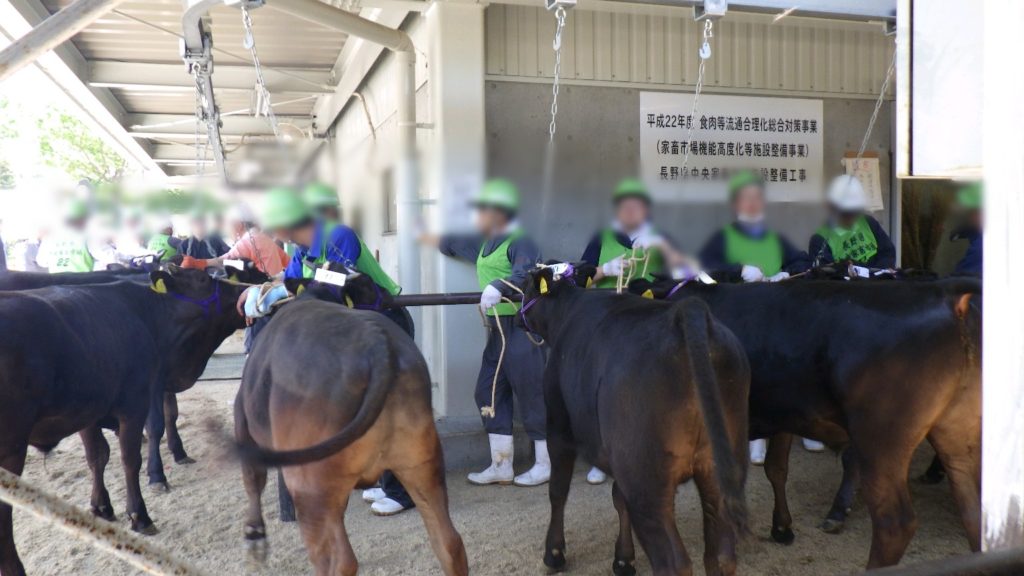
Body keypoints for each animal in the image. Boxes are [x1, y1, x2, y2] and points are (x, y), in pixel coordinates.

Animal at [0, 268, 245, 573]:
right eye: (201, 279)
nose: (241, 291)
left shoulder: (89, 410)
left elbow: (97, 456)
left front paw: (101, 507)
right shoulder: (137, 400)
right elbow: (132, 456)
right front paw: (140, 513)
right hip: (10, 445)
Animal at [233, 270, 468, 573]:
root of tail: (378, 346)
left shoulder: (243, 425)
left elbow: (252, 479)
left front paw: (254, 536)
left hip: (309, 482)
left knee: (334, 559)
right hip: (421, 461)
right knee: (449, 543)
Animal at [520, 264, 753, 573]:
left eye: (525, 285)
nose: (516, 316)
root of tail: (685, 314)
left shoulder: (559, 427)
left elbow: (558, 490)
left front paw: (555, 554)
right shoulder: (619, 457)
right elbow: (619, 499)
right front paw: (623, 559)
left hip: (647, 482)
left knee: (673, 563)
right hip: (719, 469)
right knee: (721, 555)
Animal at [630, 276, 983, 565]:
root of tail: (948, 296)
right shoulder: (783, 413)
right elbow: (776, 468)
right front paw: (782, 527)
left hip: (881, 439)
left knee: (894, 523)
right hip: (958, 433)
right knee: (974, 508)